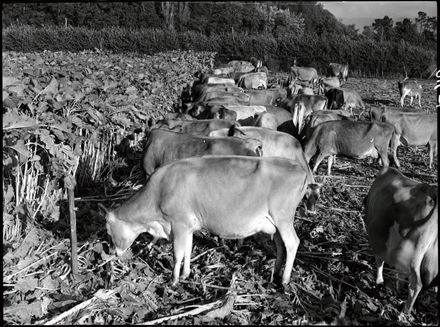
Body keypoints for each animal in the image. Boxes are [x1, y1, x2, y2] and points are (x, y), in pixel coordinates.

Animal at [104, 155, 320, 286]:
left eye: (108, 231)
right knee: (280, 245)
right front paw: (185, 274)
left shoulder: (179, 223)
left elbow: (177, 254)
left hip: (283, 217)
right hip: (275, 223)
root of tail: (298, 167)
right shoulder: (188, 227)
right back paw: (275, 274)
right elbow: (188, 250)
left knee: (292, 243)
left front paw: (173, 280)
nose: (115, 253)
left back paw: (285, 280)